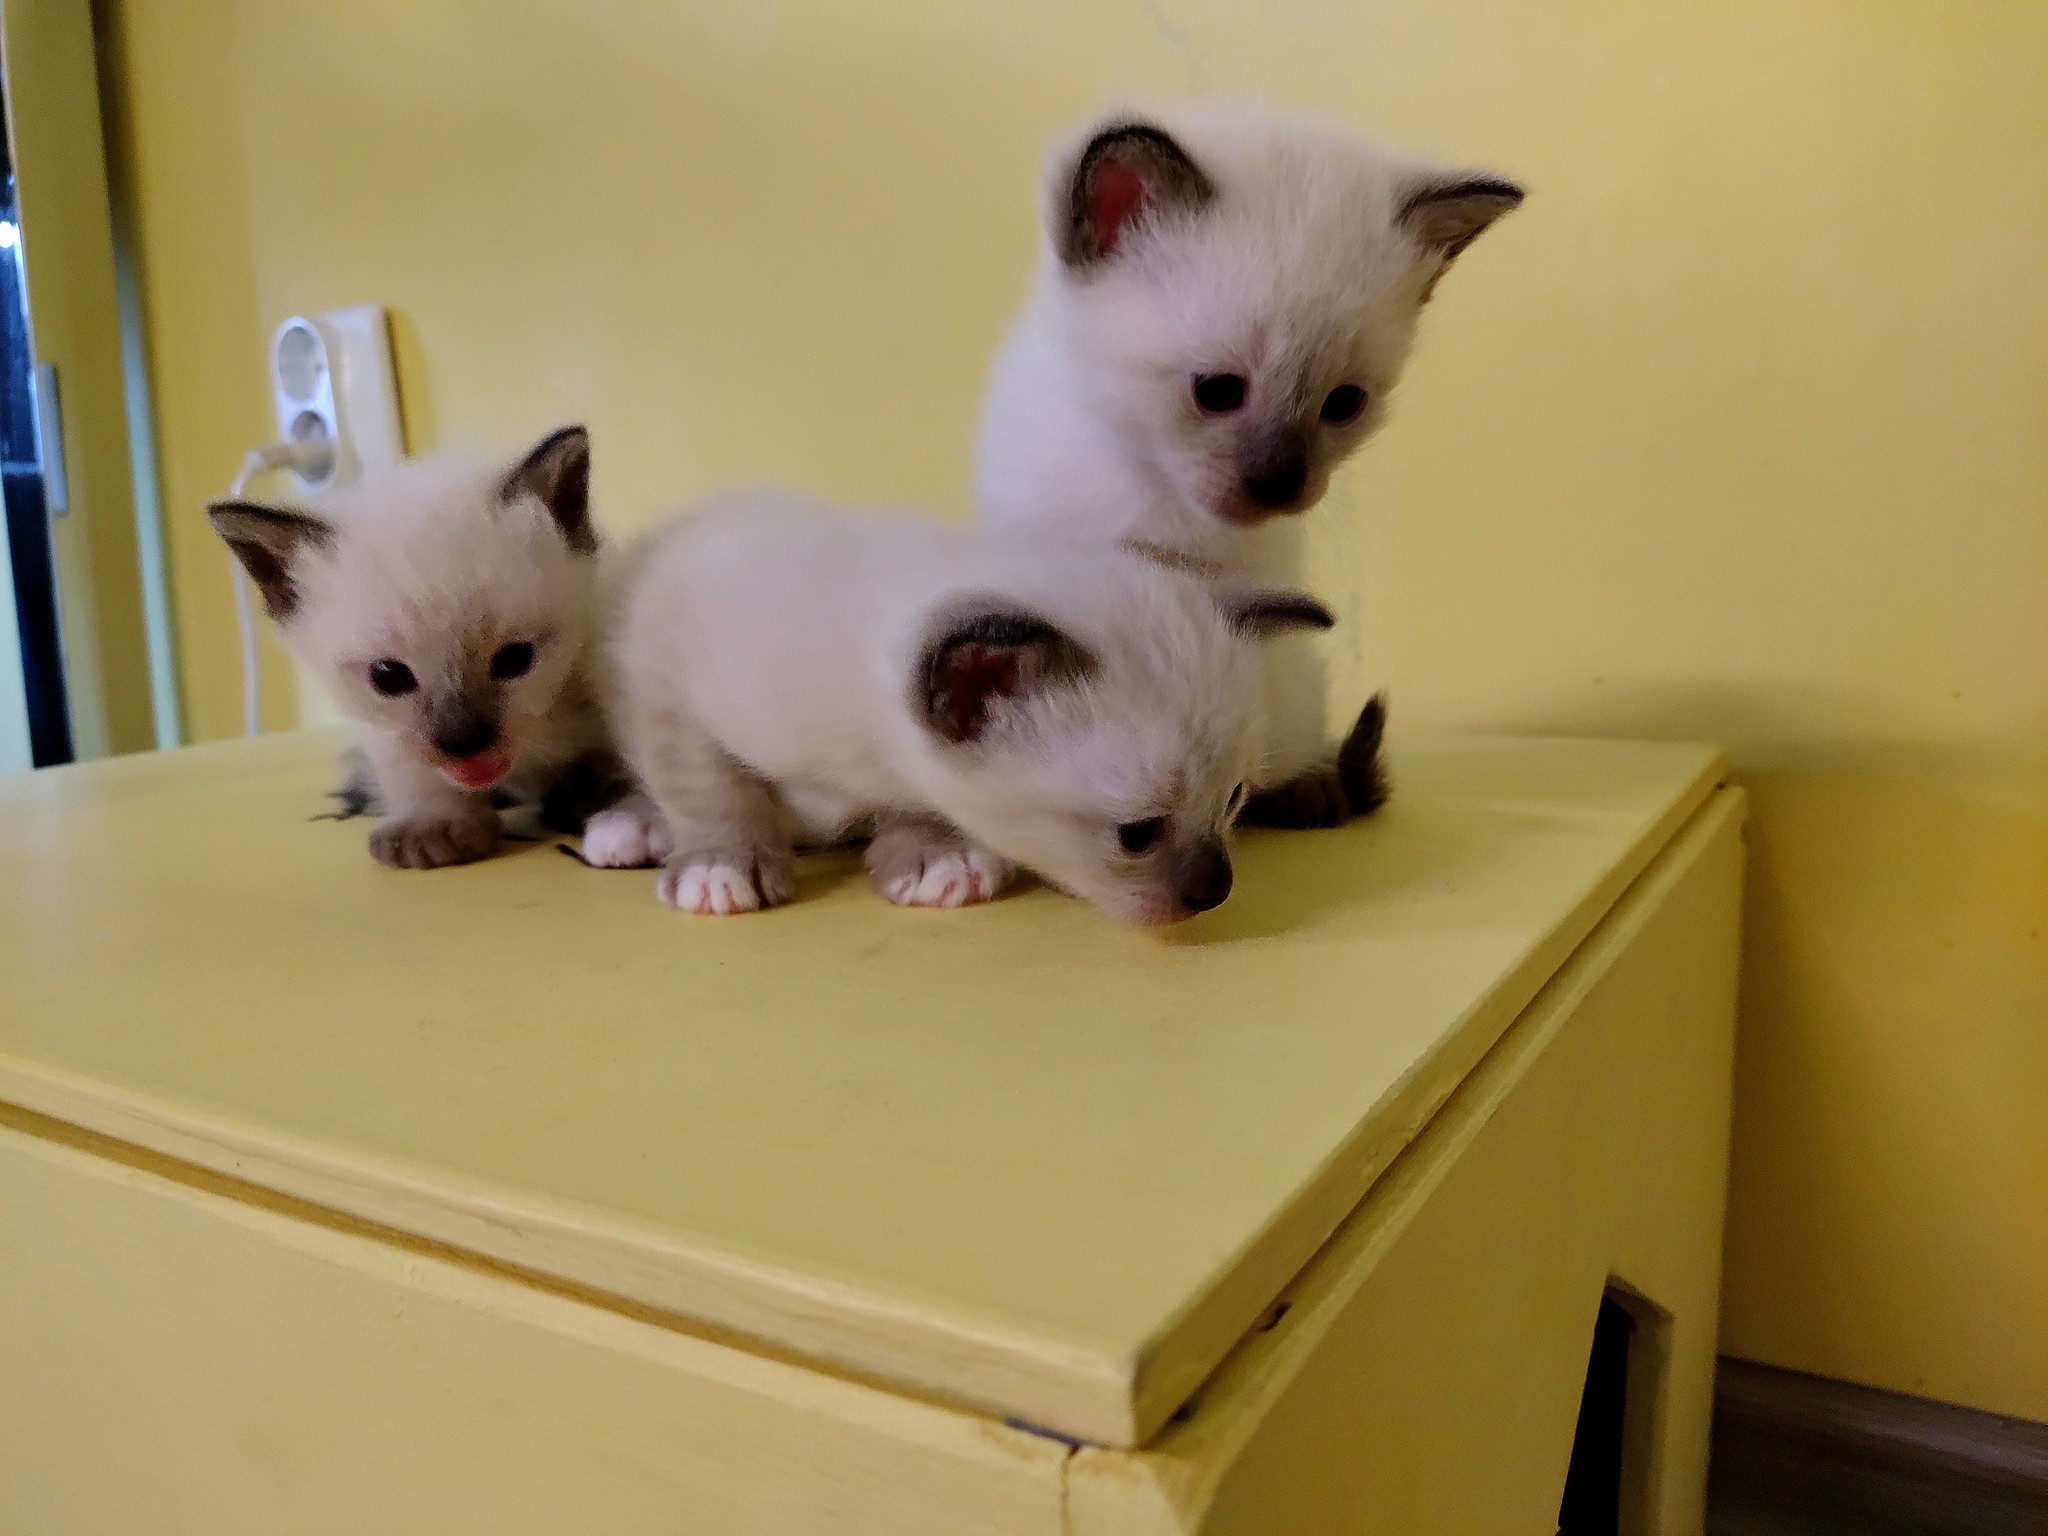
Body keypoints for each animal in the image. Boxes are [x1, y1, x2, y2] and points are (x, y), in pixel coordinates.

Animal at [208, 428, 626, 872]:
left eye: (516, 659)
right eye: (389, 678)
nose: (464, 744)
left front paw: (610, 809)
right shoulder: (385, 731)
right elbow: (414, 773)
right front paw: (433, 824)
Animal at [598, 493, 1327, 925]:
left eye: (1233, 800)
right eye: (1137, 834)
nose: (1215, 893)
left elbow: (918, 805)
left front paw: (935, 857)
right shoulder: (664, 673)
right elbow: (709, 789)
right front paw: (722, 864)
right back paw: (635, 829)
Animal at [974, 97, 1523, 831]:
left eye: (1343, 403)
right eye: (1217, 391)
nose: (1279, 483)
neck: (1157, 499)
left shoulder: (1249, 609)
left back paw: (1305, 790)